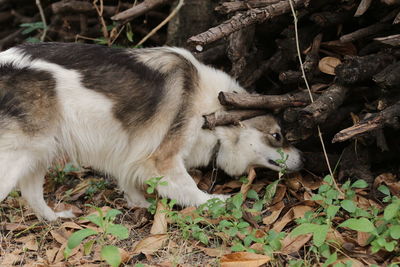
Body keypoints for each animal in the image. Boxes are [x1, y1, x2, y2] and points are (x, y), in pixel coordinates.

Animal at [0, 42, 304, 222]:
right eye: (277, 136)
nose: (305, 160)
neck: (211, 109)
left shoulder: (130, 154)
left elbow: (130, 182)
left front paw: (140, 205)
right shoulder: (163, 158)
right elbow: (189, 188)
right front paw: (212, 202)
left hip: (37, 151)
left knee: (31, 194)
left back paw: (54, 218)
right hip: (18, 156)